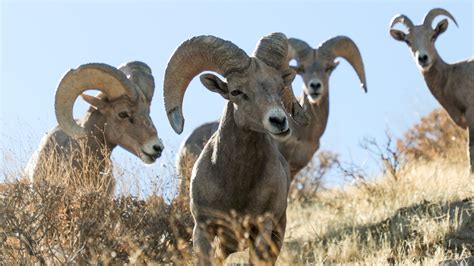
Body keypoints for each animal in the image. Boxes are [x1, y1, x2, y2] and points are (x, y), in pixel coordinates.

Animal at [165, 33, 308, 264]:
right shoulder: (203, 230)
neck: (236, 186)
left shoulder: (262, 230)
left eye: (279, 87)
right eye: (236, 91)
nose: (279, 121)